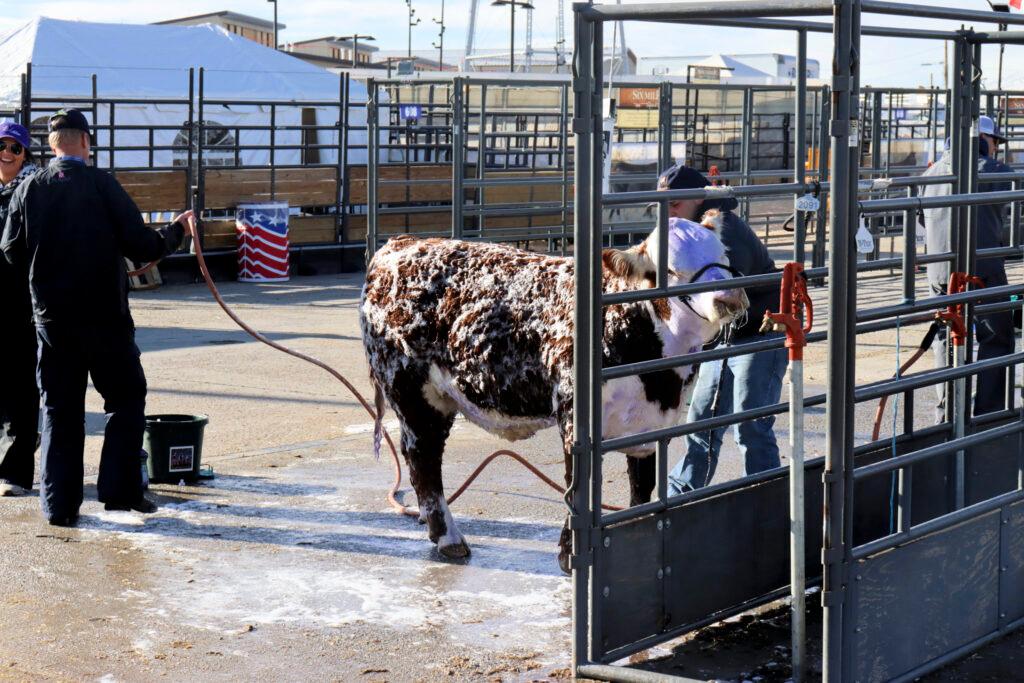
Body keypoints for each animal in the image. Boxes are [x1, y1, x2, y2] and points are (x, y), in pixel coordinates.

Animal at [364, 210, 749, 573]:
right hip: (411, 392)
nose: (730, 297)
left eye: (723, 256)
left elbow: (642, 486)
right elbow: (576, 488)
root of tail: (399, 244)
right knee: (423, 457)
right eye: (670, 269)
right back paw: (449, 538)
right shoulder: (573, 416)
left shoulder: (650, 425)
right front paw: (568, 556)